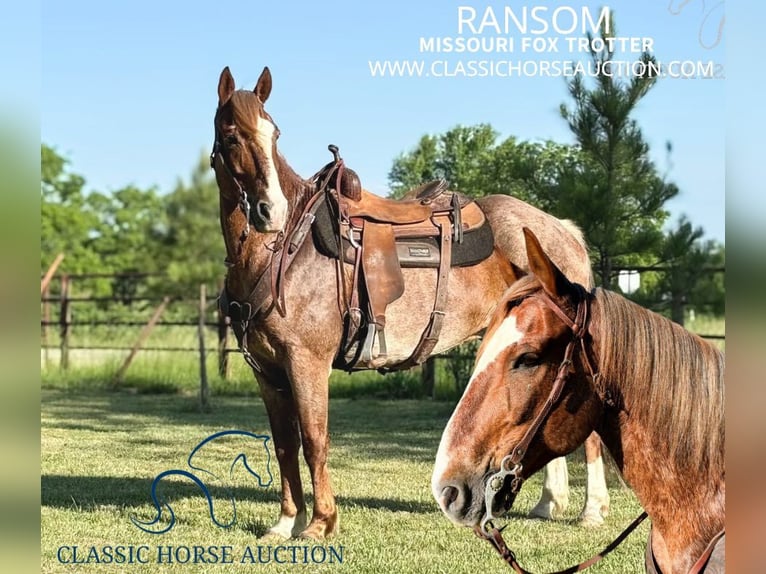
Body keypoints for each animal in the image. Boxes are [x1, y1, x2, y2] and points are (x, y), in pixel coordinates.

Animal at [213, 65, 608, 544]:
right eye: (231, 135)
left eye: (274, 134)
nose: (270, 210)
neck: (285, 247)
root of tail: (563, 230)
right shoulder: (268, 372)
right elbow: (285, 444)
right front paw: (286, 521)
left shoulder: (306, 363)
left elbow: (314, 441)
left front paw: (321, 523)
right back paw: (549, 503)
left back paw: (591, 510)